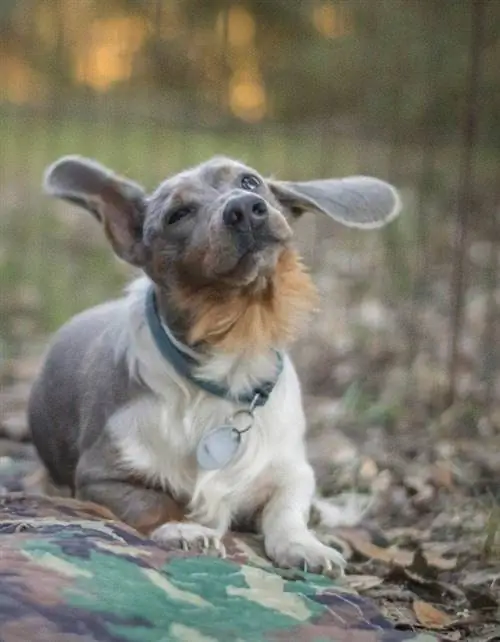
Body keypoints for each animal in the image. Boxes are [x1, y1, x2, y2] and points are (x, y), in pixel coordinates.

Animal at [28, 154, 402, 568]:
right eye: (177, 214)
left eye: (250, 181)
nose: (244, 208)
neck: (234, 356)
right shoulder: (100, 477)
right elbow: (152, 502)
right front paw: (183, 529)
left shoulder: (293, 472)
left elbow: (286, 510)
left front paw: (303, 544)